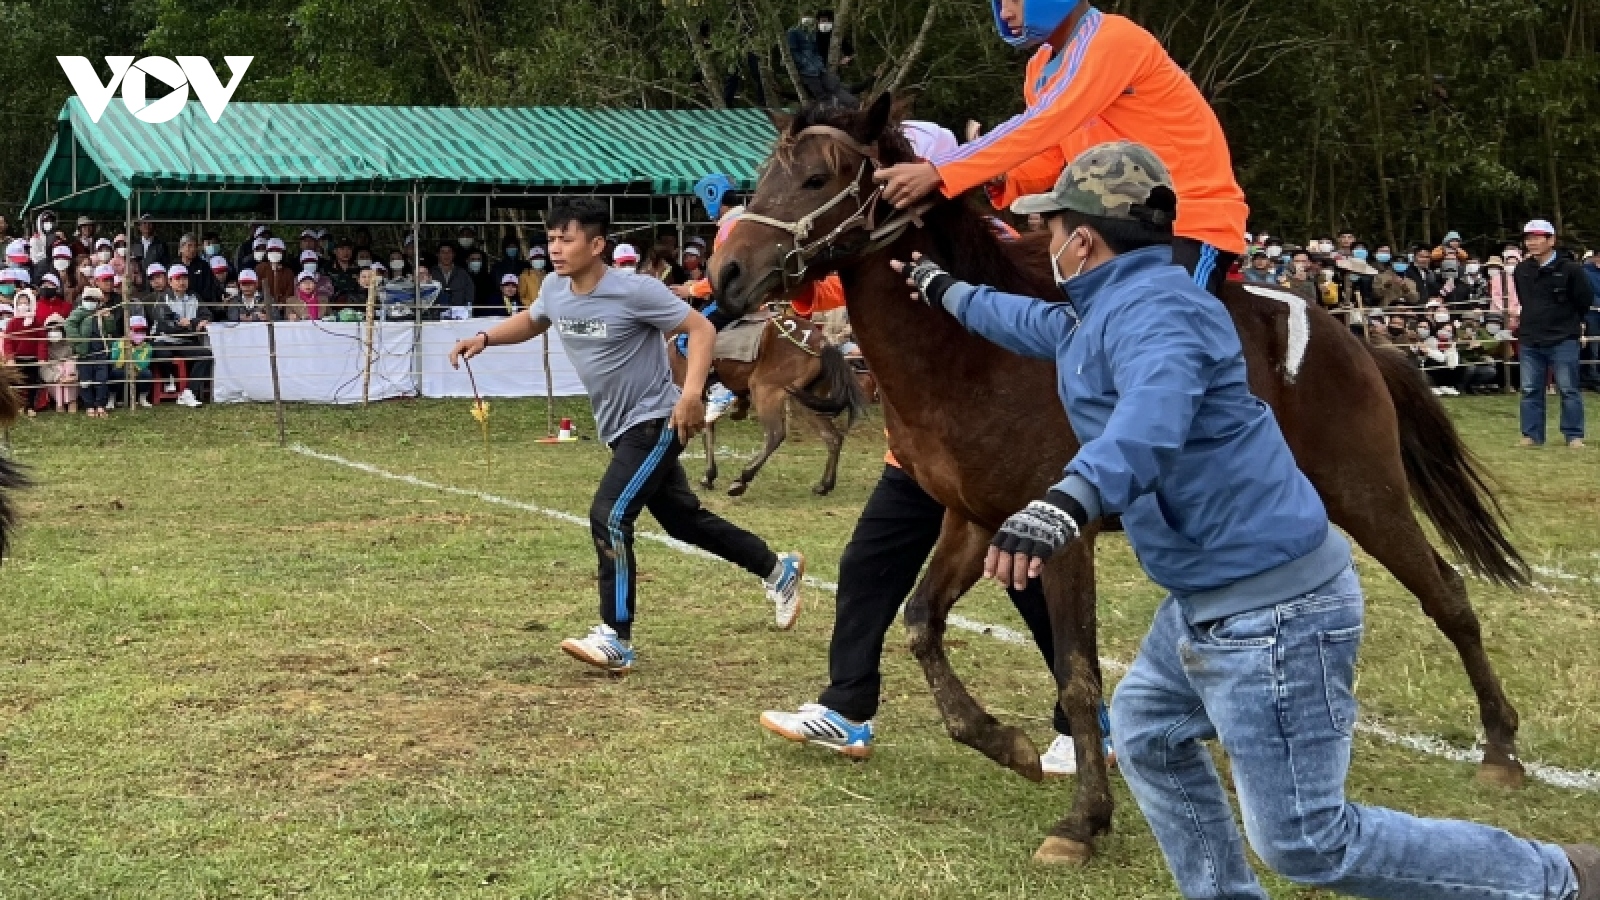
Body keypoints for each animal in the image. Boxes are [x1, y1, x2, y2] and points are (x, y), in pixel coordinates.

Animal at [668, 312, 870, 496]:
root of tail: (822, 343)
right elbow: (707, 431)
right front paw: (708, 476)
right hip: (806, 400)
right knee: (832, 437)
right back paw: (824, 485)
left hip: (764, 389)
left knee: (775, 434)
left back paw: (743, 478)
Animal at [716, 92, 1523, 864]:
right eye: (764, 173)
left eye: (816, 179)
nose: (726, 273)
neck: (970, 353)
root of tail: (1358, 343)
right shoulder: (974, 519)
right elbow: (919, 622)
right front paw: (1003, 742)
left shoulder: (1059, 538)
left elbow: (1076, 675)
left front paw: (1084, 818)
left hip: (1365, 491)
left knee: (1447, 593)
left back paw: (1500, 746)